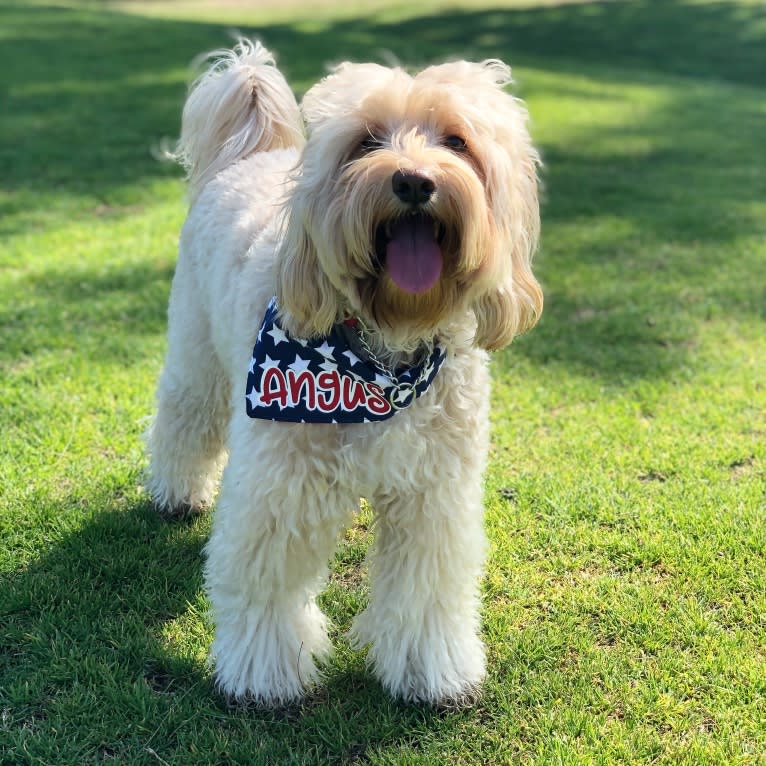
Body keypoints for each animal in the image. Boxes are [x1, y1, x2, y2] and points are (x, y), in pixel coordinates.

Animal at [147, 36, 544, 708]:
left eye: (456, 141)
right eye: (366, 142)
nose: (413, 181)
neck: (382, 354)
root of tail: (251, 156)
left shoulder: (433, 493)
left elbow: (424, 589)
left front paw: (430, 670)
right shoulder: (280, 485)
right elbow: (267, 582)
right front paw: (264, 673)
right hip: (198, 356)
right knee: (185, 419)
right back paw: (176, 493)